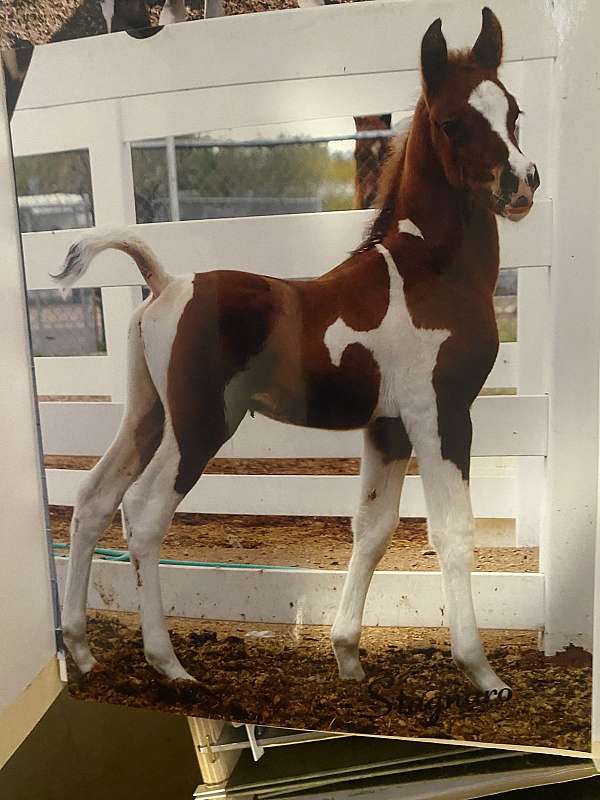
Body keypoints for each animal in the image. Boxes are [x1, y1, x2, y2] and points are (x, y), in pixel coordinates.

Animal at [55, 7, 539, 695]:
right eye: (452, 121)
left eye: (513, 111)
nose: (521, 183)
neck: (427, 274)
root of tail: (166, 283)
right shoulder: (439, 414)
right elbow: (452, 531)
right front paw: (481, 670)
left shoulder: (388, 427)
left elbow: (373, 528)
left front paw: (348, 657)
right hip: (199, 425)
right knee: (143, 513)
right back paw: (168, 664)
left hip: (147, 416)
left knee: (93, 500)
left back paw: (82, 649)